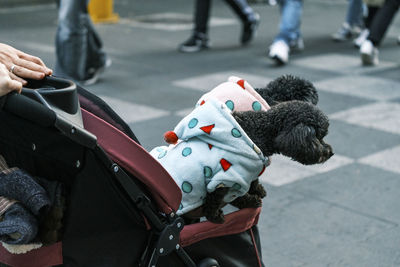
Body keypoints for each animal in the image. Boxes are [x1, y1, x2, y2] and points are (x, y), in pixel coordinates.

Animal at [149, 75, 332, 224]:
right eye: (319, 136)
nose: (330, 153)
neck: (259, 129)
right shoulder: (225, 179)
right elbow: (221, 200)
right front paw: (219, 215)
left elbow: (253, 182)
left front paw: (258, 191)